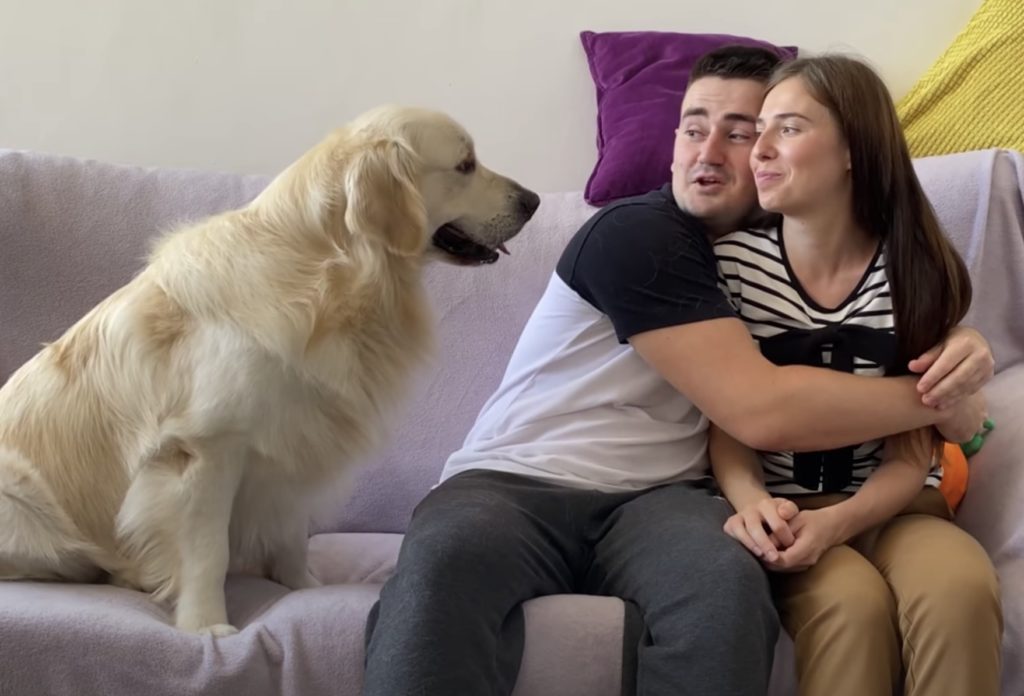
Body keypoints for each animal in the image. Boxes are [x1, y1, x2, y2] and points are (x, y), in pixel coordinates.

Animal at [0, 105, 540, 635]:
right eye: (465, 165)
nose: (533, 200)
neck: (330, 273)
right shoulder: (206, 449)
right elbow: (208, 552)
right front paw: (207, 625)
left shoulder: (298, 442)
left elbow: (291, 534)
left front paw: (302, 587)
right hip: (22, 501)